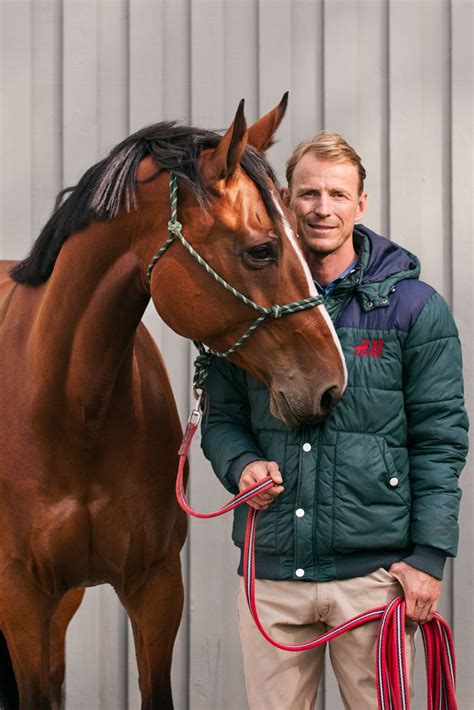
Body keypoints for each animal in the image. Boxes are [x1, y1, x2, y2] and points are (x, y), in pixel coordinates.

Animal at [0, 96, 346, 710]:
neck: (74, 413)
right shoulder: (21, 593)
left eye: (306, 244)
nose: (332, 384)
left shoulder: (156, 585)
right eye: (262, 250)